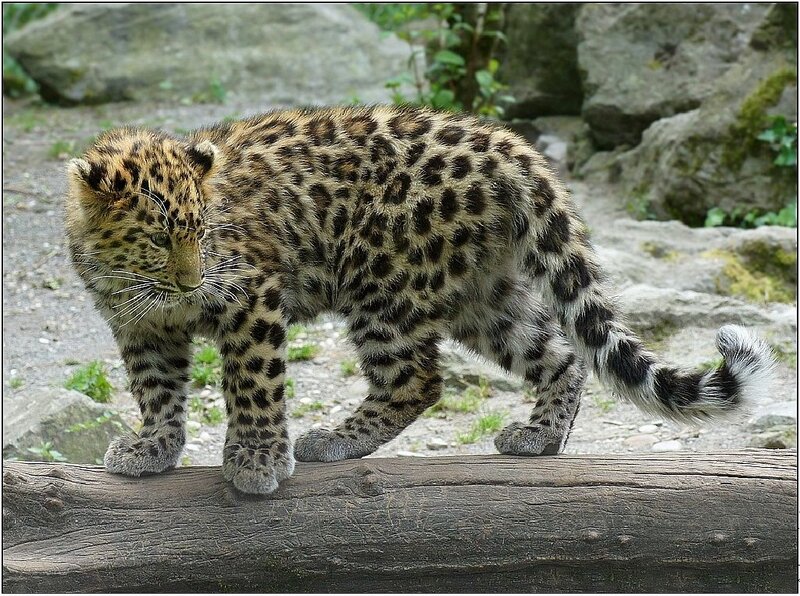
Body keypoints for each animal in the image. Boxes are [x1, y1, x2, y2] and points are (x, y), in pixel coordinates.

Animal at [65, 104, 775, 494]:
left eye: (206, 232)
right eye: (161, 236)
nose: (193, 283)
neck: (135, 279)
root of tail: (503, 140)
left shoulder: (251, 295)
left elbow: (253, 385)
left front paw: (258, 459)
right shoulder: (140, 329)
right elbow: (156, 390)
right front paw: (152, 448)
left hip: (384, 284)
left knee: (416, 380)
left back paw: (332, 441)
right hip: (484, 295)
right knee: (560, 355)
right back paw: (539, 438)